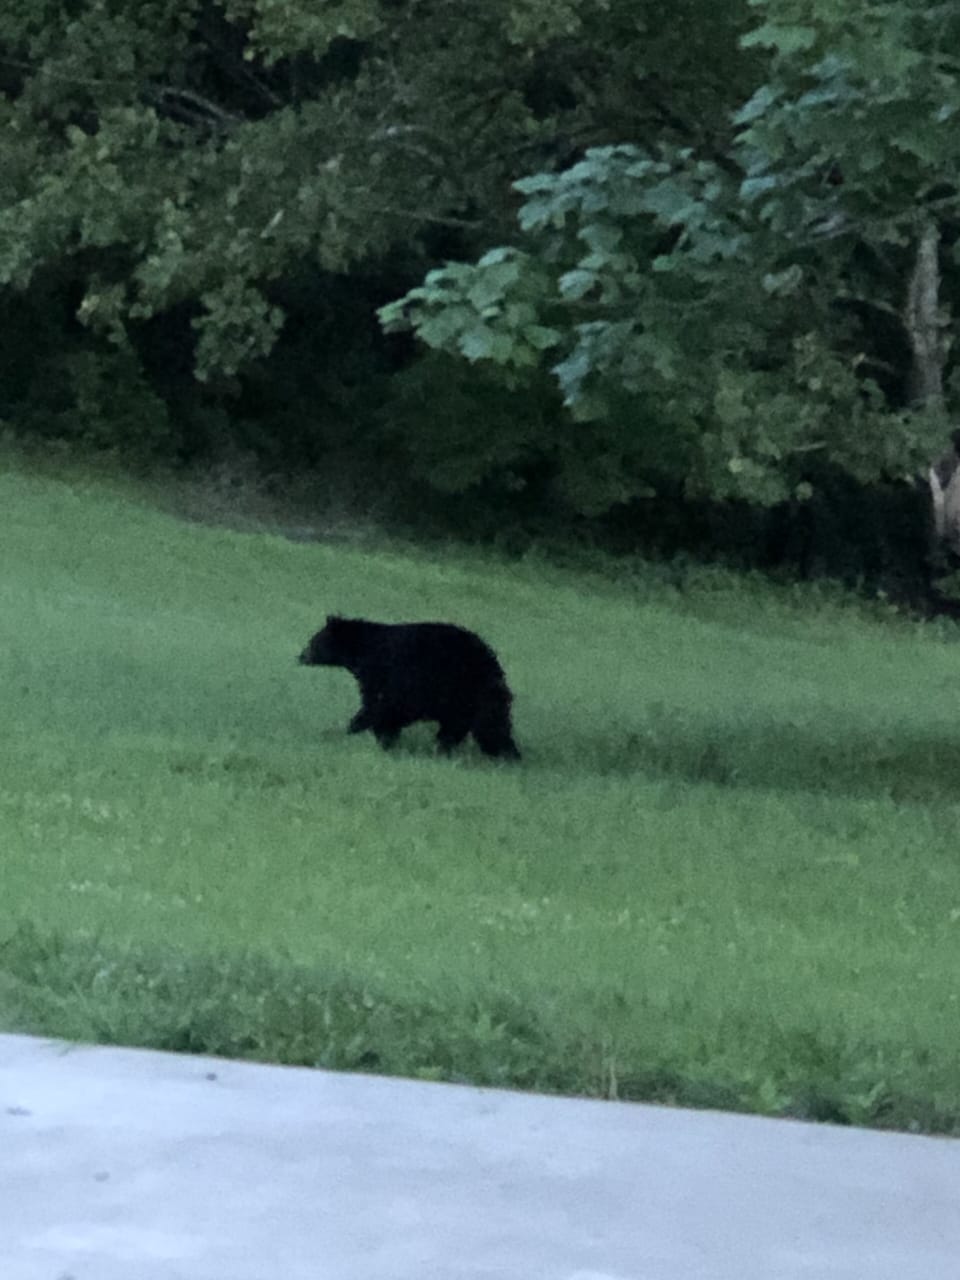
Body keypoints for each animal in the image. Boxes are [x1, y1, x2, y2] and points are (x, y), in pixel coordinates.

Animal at [298, 615, 521, 760]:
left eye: (314, 640)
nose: (300, 656)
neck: (365, 650)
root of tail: (492, 663)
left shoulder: (390, 676)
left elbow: (379, 707)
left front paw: (348, 730)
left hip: (470, 691)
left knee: (489, 727)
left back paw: (507, 754)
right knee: (458, 728)